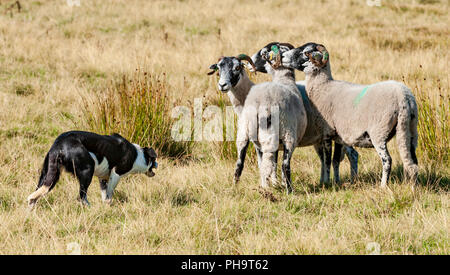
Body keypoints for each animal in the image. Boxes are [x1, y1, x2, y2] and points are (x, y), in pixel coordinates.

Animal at [282, 42, 418, 188]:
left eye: (306, 52)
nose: (283, 56)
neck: (323, 87)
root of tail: (404, 97)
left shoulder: (327, 133)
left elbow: (327, 161)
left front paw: (327, 182)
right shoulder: (339, 136)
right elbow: (335, 160)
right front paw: (336, 182)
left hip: (379, 132)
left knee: (387, 160)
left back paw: (383, 185)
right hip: (410, 129)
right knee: (412, 161)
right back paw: (413, 186)